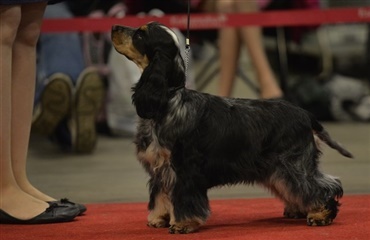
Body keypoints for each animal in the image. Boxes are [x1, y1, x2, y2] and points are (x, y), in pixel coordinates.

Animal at [111, 21, 354, 233]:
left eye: (140, 34)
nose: (114, 27)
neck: (167, 100)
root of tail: (305, 114)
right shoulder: (160, 171)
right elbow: (160, 196)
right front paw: (159, 219)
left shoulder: (184, 169)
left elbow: (184, 200)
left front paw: (182, 224)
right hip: (278, 169)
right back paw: (299, 210)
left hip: (293, 163)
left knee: (326, 185)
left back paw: (320, 215)